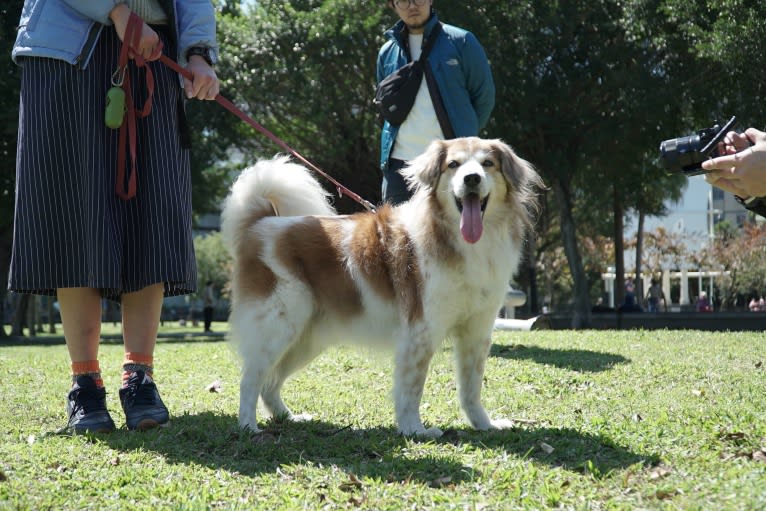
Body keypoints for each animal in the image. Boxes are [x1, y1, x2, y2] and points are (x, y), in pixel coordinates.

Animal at [220, 138, 544, 438]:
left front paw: (484, 425)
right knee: (250, 380)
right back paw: (248, 426)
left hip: (305, 340)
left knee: (270, 382)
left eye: (488, 163)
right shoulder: (420, 333)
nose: (472, 178)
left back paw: (288, 418)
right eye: (454, 164)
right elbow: (411, 389)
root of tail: (261, 222)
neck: (461, 241)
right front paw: (414, 431)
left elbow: (471, 389)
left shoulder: (476, 333)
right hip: (277, 328)